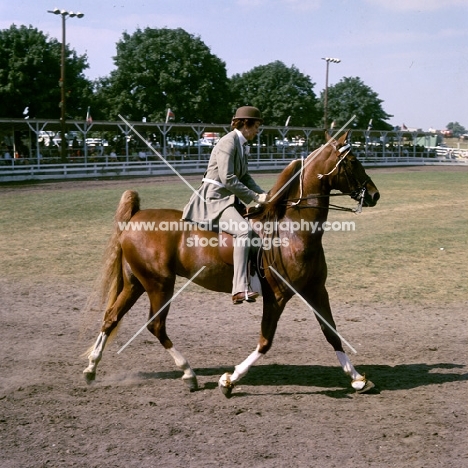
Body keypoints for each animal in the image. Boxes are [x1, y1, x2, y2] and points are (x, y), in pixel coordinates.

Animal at [83, 131, 380, 394]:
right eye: (353, 161)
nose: (374, 194)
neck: (293, 229)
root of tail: (134, 217)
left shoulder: (316, 290)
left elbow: (332, 333)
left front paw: (357, 379)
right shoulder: (278, 296)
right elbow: (265, 341)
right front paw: (229, 380)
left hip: (136, 283)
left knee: (111, 318)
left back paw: (91, 368)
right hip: (159, 285)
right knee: (155, 326)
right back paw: (188, 373)